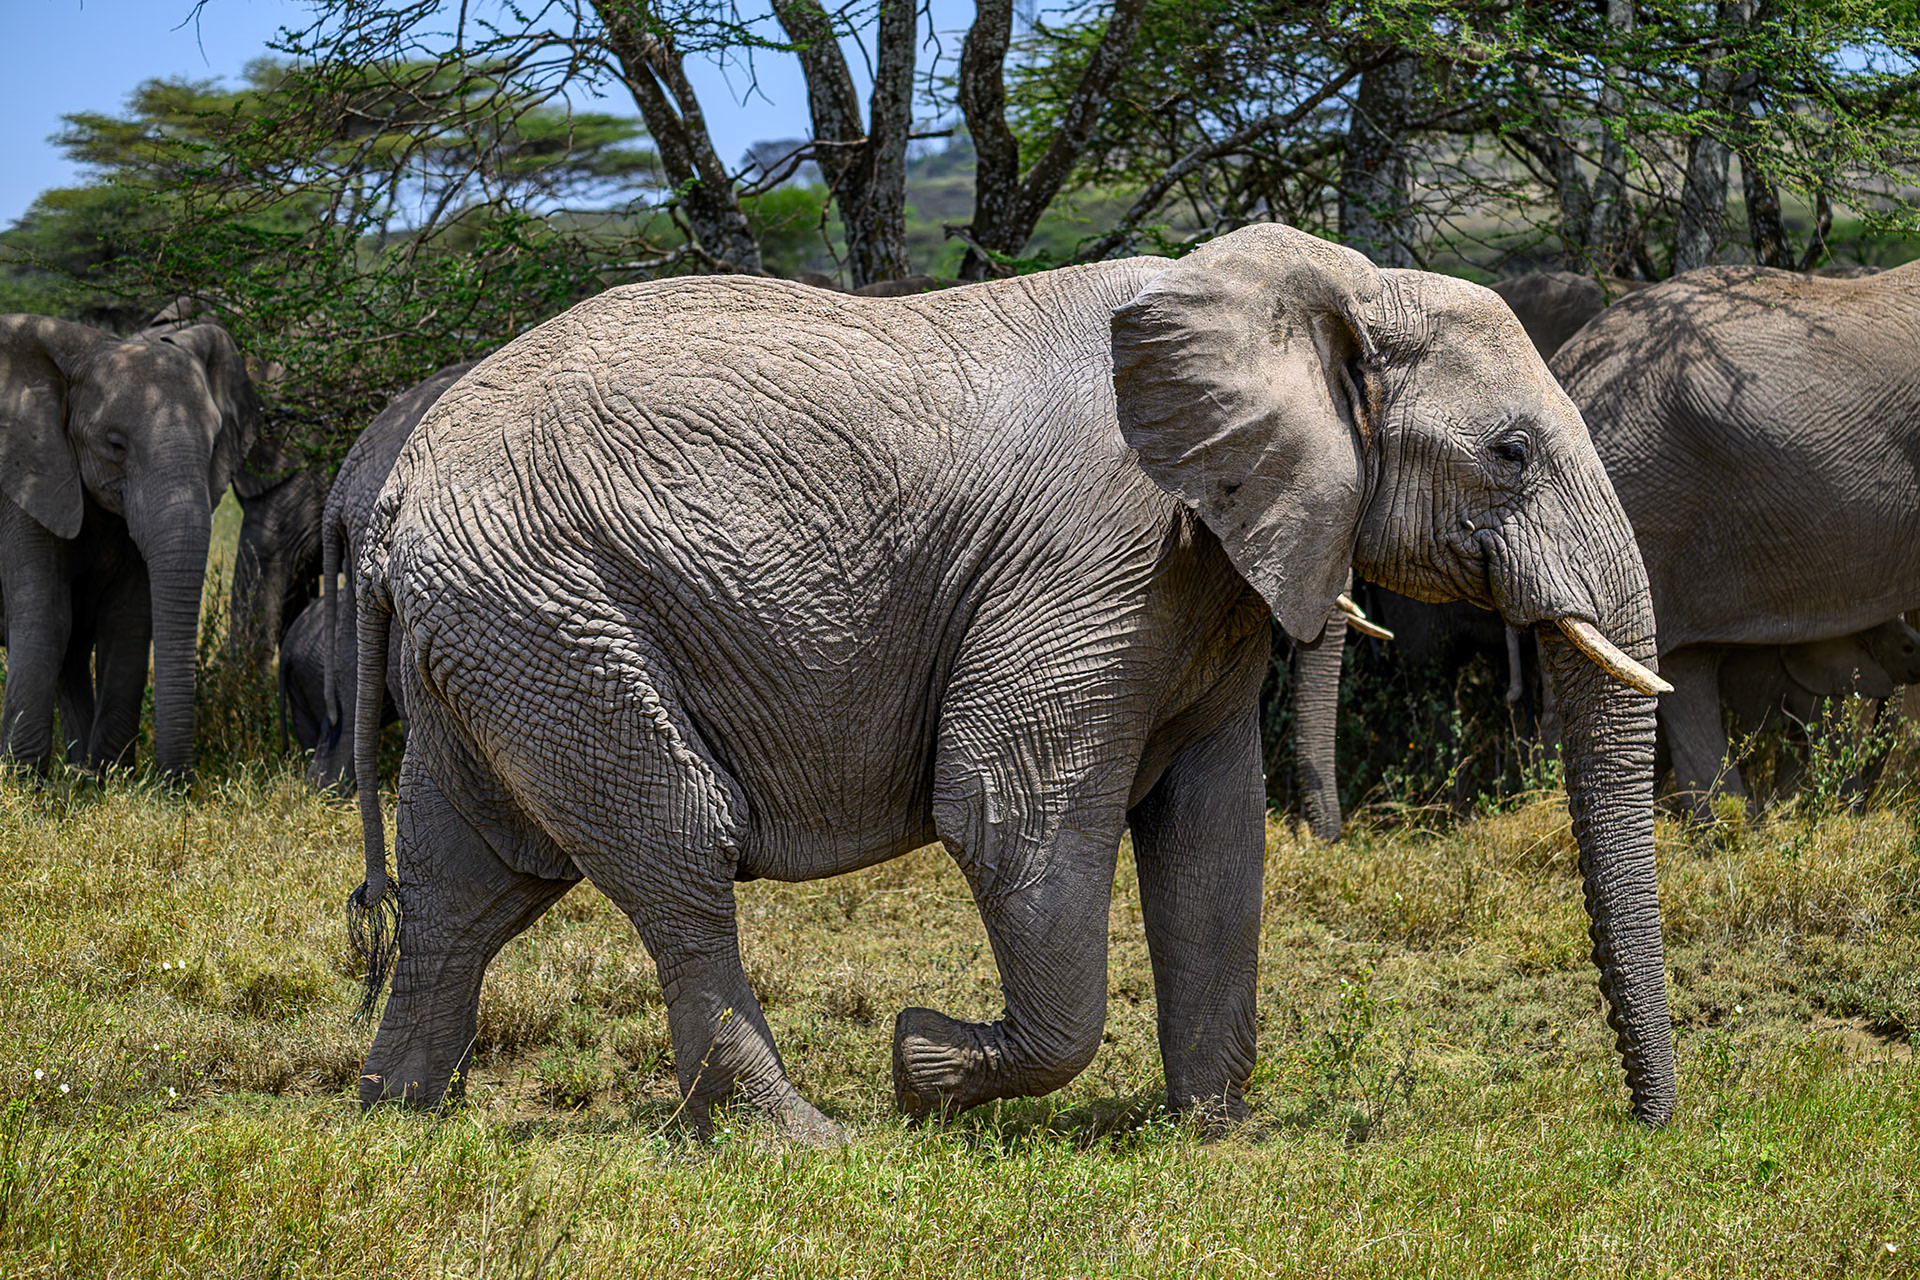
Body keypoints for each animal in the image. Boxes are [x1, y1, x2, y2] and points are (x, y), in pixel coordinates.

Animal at [0, 315, 262, 779]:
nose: (177, 785)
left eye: (215, 443)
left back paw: (80, 771)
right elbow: (46, 615)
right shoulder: (26, 486)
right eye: (115, 444)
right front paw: (22, 782)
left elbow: (125, 621)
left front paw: (110, 779)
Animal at [344, 223, 1676, 1137]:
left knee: (468, 882)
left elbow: (1214, 831)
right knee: (674, 848)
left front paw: (1215, 1136)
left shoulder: (1197, 573)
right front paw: (920, 1063)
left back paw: (398, 1117)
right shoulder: (1100, 551)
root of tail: (394, 498)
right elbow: (1007, 810)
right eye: (1511, 453)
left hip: (499, 638)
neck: (1311, 283)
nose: (1650, 1128)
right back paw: (803, 1141)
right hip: (553, 611)